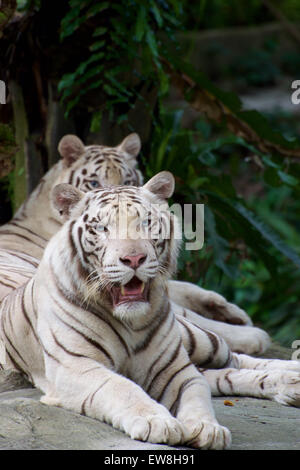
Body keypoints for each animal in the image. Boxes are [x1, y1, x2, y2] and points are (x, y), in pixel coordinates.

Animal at [0, 172, 300, 448]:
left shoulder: (174, 367)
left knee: (231, 359)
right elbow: (122, 388)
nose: (134, 258)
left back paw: (289, 375)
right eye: (102, 228)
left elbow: (196, 393)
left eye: (146, 222)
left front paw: (206, 428)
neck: (129, 322)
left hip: (195, 338)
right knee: (223, 372)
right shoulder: (75, 366)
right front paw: (157, 422)